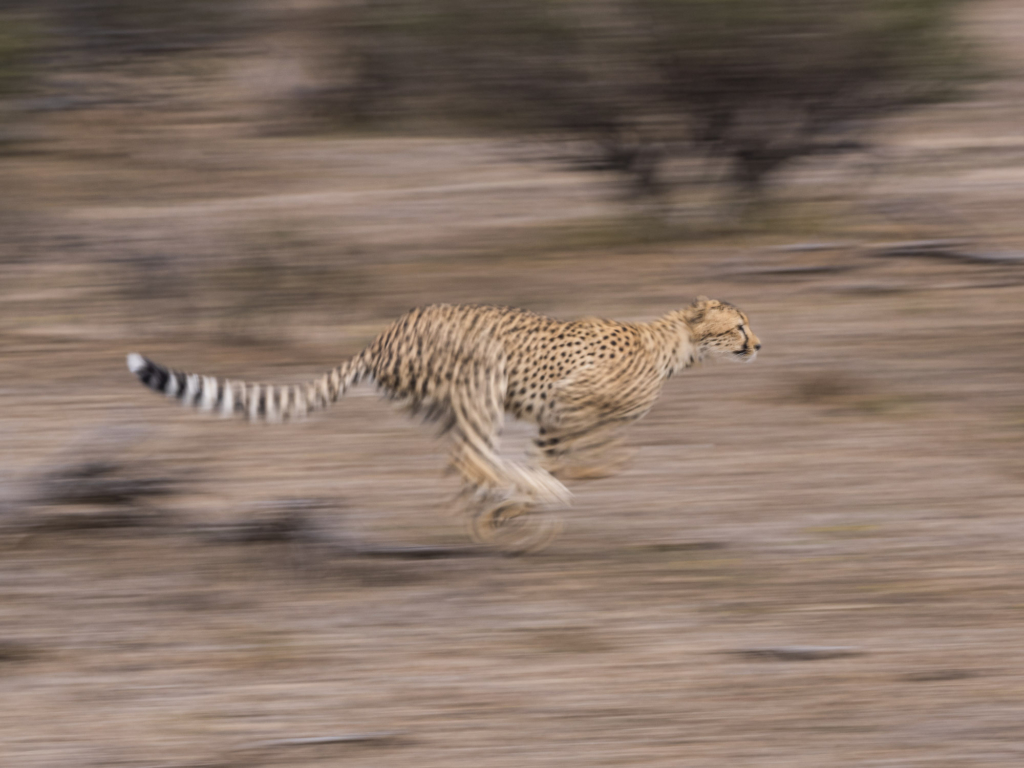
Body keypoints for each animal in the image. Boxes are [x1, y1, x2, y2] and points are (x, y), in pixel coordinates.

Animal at [128, 296, 761, 552]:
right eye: (738, 326)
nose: (758, 344)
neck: (676, 346)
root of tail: (386, 331)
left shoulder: (552, 420)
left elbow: (561, 457)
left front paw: (515, 509)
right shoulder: (566, 401)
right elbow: (592, 456)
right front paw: (551, 490)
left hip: (448, 404)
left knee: (461, 463)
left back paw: (492, 508)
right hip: (483, 375)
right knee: (471, 457)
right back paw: (517, 498)